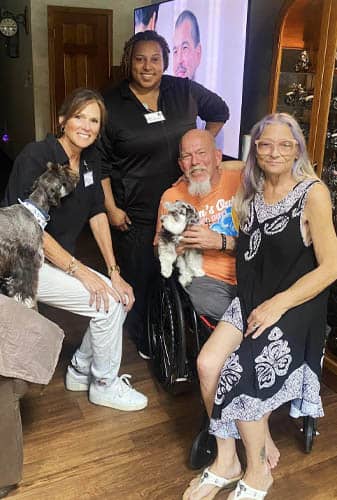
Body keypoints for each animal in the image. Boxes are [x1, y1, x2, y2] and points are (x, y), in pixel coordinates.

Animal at [0, 162, 78, 306]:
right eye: (63, 174)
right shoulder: (30, 257)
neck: (35, 209)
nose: (76, 175)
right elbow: (28, 281)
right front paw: (26, 299)